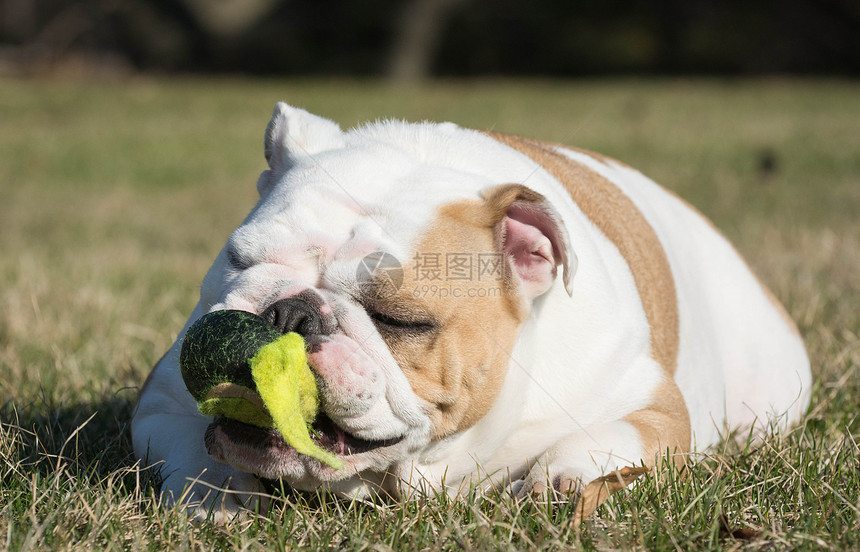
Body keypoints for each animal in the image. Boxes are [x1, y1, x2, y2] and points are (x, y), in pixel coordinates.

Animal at [131, 102, 808, 516]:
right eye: (239, 259)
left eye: (400, 320)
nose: (290, 313)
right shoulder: (160, 400)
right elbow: (192, 442)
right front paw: (221, 492)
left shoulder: (653, 404)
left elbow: (610, 436)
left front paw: (563, 478)